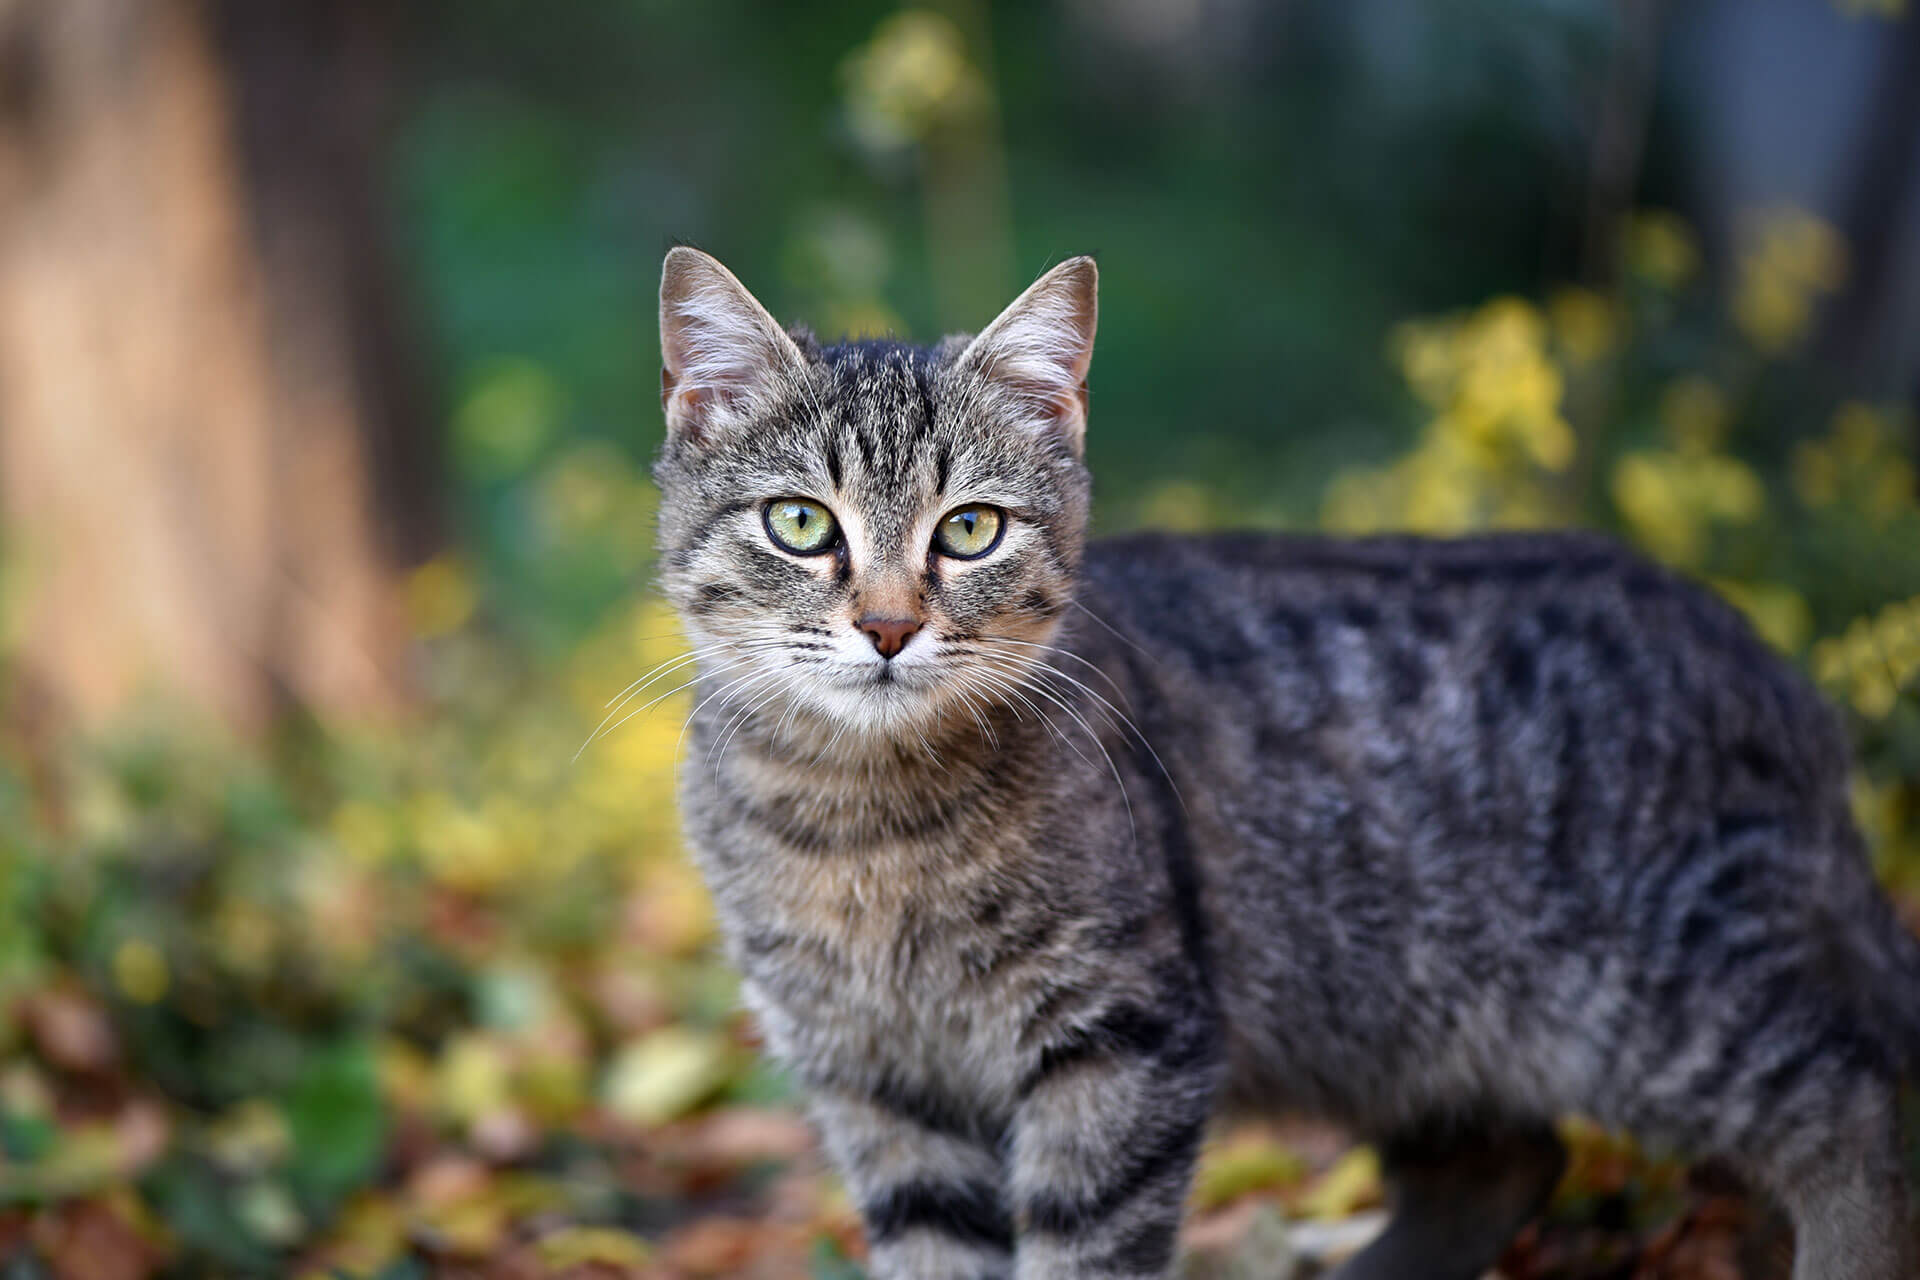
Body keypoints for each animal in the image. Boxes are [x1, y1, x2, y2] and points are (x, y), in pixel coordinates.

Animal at [648, 247, 1920, 1280]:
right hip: (1395, 1013)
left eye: (969, 529)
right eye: (802, 524)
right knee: (1507, 1160)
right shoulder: (876, 1086)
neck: (858, 820)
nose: (889, 625)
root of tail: (1777, 667)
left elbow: (1083, 1247)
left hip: (1660, 999)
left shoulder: (1121, 1039)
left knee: (1860, 1106)